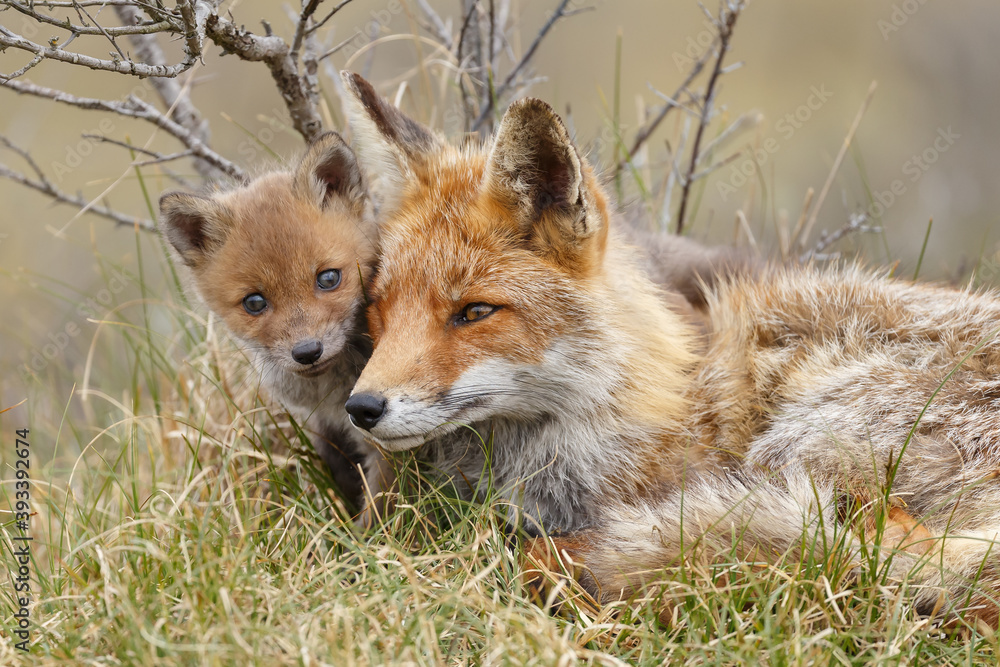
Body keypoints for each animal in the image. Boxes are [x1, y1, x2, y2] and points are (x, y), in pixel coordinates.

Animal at [158, 132, 391, 511]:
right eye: (254, 303)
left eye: (328, 279)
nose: (308, 352)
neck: (330, 393)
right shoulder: (326, 429)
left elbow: (382, 512)